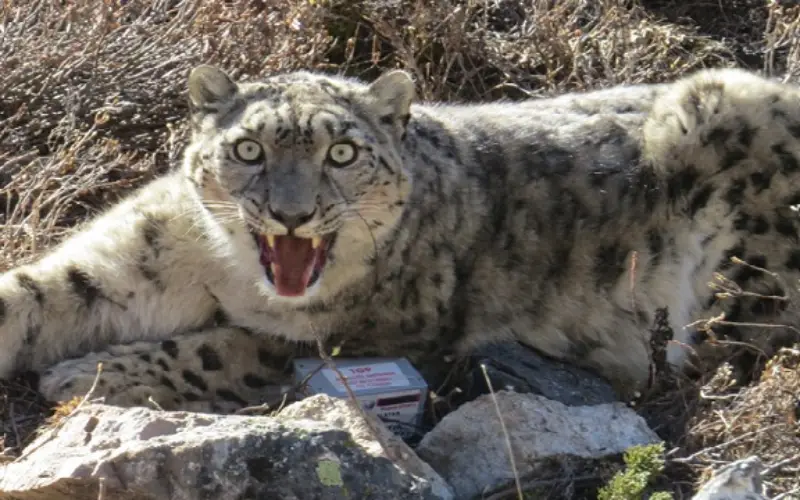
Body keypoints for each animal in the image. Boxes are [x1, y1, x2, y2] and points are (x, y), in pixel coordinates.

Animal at [1, 64, 800, 412]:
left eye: (342, 153)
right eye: (249, 149)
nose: (291, 215)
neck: (225, 275)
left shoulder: (372, 339)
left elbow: (225, 349)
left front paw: (84, 374)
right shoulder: (127, 261)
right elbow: (35, 295)